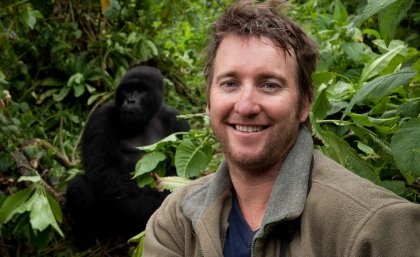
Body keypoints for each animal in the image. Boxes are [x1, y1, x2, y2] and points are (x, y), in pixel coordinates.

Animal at [65, 65, 189, 245]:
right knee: (79, 186)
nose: (130, 101)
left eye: (141, 90)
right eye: (127, 90)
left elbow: (180, 177)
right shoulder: (100, 117)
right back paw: (85, 238)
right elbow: (101, 169)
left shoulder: (178, 122)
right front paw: (150, 206)